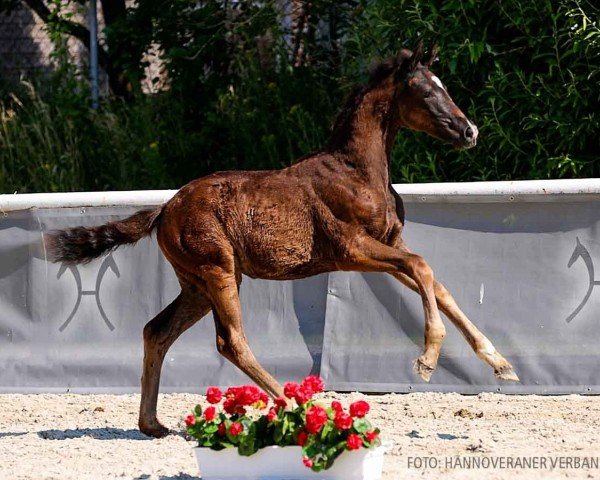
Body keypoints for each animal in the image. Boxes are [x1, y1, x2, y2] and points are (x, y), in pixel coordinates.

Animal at [47, 43, 516, 436]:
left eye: (443, 86)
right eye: (425, 91)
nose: (470, 131)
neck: (358, 171)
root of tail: (163, 210)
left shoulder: (390, 246)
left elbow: (436, 284)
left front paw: (500, 363)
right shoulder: (352, 249)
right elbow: (423, 267)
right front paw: (427, 360)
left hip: (199, 284)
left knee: (156, 331)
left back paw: (152, 424)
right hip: (218, 271)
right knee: (230, 341)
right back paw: (300, 407)